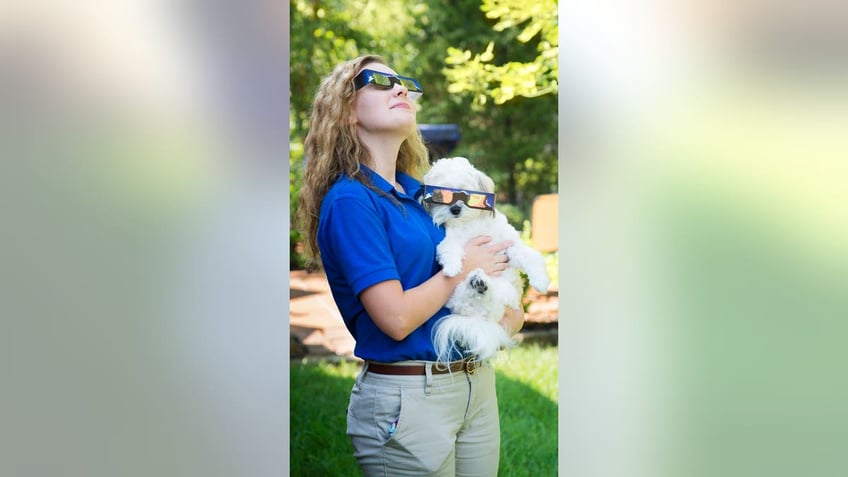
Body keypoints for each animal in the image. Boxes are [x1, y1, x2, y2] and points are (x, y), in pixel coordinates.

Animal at [418, 154, 548, 362]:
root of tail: (479, 318)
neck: (471, 225)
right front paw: (452, 267)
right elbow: (448, 249)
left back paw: (480, 284)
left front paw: (541, 282)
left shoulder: (509, 246)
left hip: (506, 293)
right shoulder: (450, 240)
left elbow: (531, 257)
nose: (455, 209)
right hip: (458, 296)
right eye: (441, 196)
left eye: (464, 193)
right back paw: (477, 283)